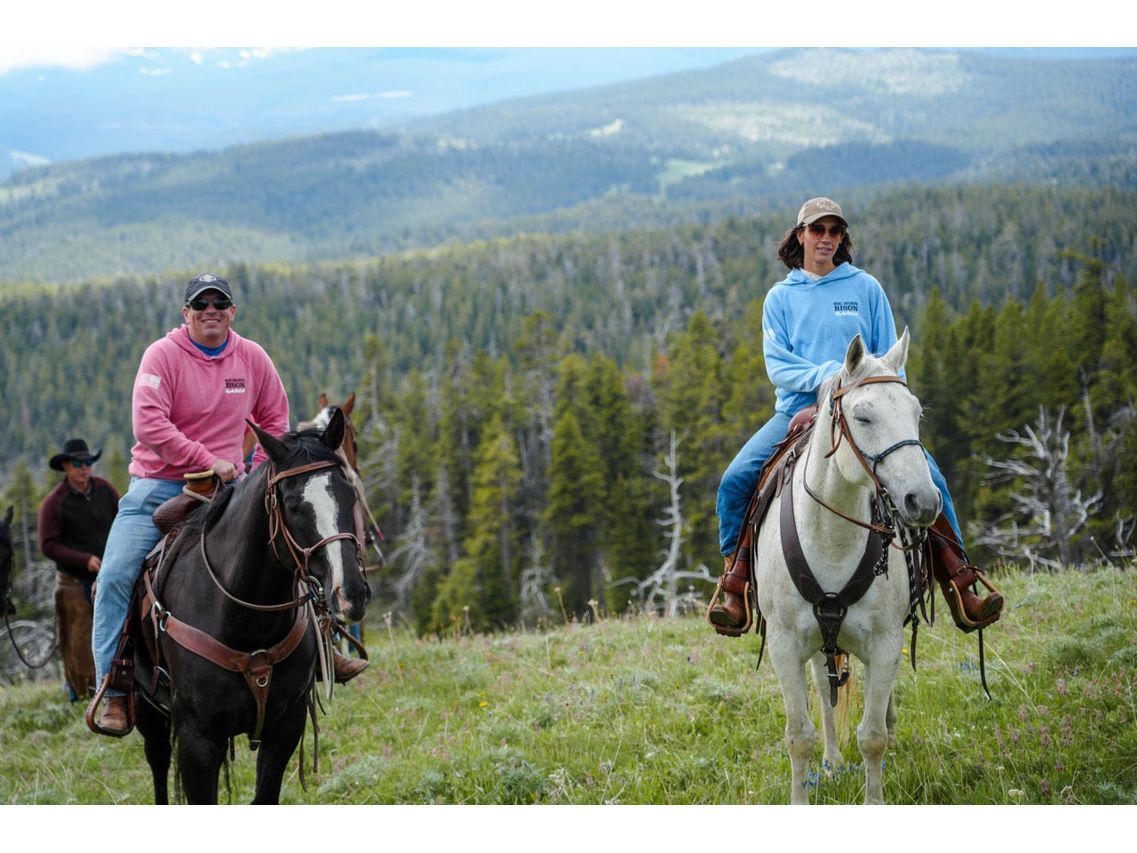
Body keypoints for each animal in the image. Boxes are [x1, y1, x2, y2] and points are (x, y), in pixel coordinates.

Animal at [133, 411, 370, 805]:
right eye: (293, 505)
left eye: (348, 493)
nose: (349, 592)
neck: (246, 622)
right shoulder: (197, 739)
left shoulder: (286, 725)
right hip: (145, 709)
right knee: (158, 762)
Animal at [754, 329, 941, 805]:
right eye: (863, 417)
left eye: (916, 414)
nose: (923, 501)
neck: (832, 540)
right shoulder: (784, 645)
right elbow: (798, 736)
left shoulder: (885, 642)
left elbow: (872, 736)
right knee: (824, 690)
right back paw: (833, 760)